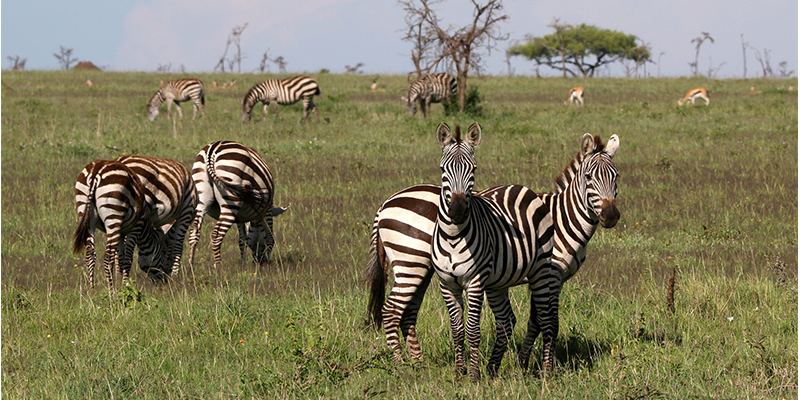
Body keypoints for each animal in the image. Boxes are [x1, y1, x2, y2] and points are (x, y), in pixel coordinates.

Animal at [72, 159, 172, 288]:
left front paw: (120, 284)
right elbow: (127, 259)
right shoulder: (135, 227)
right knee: (108, 257)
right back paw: (111, 291)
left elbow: (120, 259)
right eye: (163, 251)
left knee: (90, 254)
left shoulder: (121, 233)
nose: (164, 282)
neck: (144, 227)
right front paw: (125, 286)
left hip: (85, 212)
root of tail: (96, 170)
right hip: (113, 214)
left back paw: (91, 289)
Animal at [366, 130, 620, 376]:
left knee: (408, 313)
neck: (561, 218)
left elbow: (533, 321)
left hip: (421, 268)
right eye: (589, 177)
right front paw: (527, 364)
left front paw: (520, 362)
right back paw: (401, 365)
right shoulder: (550, 275)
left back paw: (418, 364)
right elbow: (543, 321)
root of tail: (386, 204)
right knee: (392, 310)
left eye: (616, 176)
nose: (610, 216)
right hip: (412, 262)